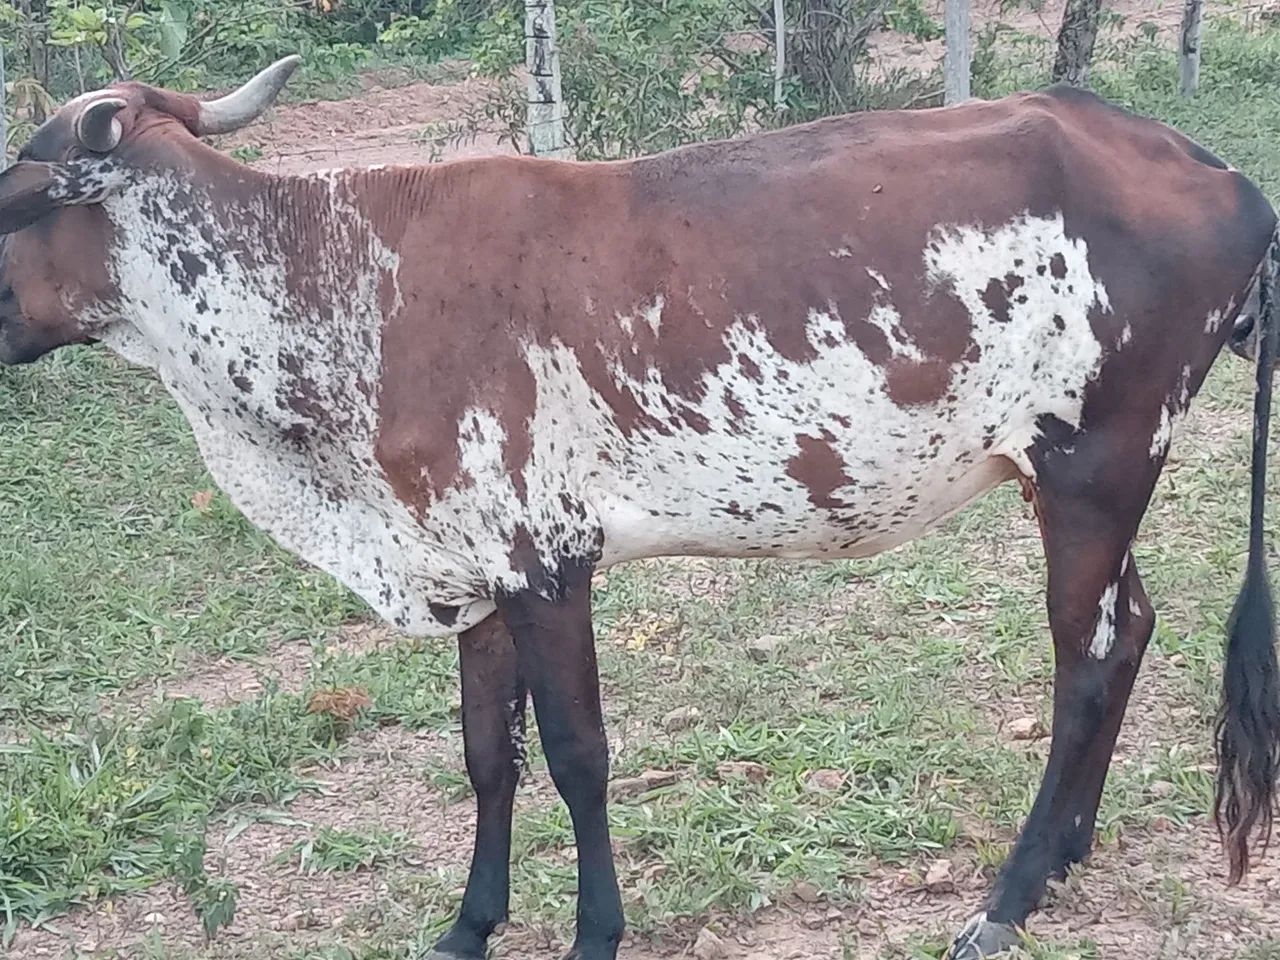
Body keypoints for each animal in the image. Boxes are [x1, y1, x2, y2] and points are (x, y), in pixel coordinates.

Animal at [0, 56, 1277, 960]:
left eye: (19, 200)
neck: (337, 282)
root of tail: (1213, 170)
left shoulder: (546, 561)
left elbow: (576, 755)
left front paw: (592, 932)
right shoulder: (469, 569)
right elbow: (486, 756)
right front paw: (468, 925)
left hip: (1095, 464)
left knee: (1085, 658)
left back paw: (1008, 894)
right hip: (1074, 484)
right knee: (1132, 628)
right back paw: (1063, 851)